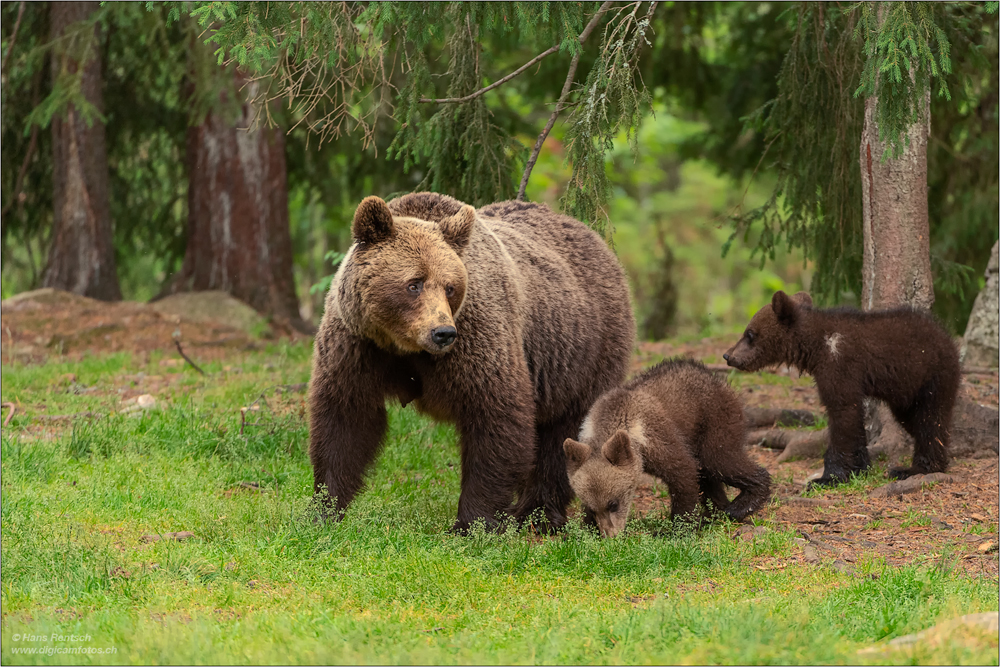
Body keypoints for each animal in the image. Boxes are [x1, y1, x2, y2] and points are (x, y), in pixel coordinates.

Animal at [308, 192, 632, 532]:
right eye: (414, 283)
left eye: (450, 286)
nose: (442, 333)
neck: (403, 345)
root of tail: (593, 237)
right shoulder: (357, 346)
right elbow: (346, 420)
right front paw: (324, 510)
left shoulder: (477, 343)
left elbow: (496, 417)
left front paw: (472, 522)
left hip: (582, 354)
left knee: (566, 433)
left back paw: (538, 512)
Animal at [568, 360, 768, 536]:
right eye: (593, 509)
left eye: (613, 503)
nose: (610, 535)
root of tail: (717, 379)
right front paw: (583, 532)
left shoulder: (657, 439)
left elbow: (683, 472)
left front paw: (677, 530)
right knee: (708, 477)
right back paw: (715, 512)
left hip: (714, 421)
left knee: (720, 460)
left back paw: (739, 506)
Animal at [728, 290, 960, 486]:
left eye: (750, 334)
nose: (728, 355)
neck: (816, 347)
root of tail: (948, 337)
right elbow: (853, 422)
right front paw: (860, 467)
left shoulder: (839, 366)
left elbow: (842, 414)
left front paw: (828, 477)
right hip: (905, 395)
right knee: (915, 421)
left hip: (932, 378)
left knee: (931, 421)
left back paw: (915, 468)